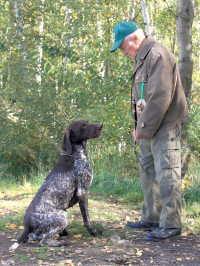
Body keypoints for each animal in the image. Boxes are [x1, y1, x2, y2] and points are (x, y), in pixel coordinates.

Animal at [9, 120, 102, 249]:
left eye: (87, 122)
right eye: (83, 125)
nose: (101, 125)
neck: (75, 155)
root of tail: (27, 226)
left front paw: (63, 233)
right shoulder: (83, 192)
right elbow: (87, 219)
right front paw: (93, 232)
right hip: (62, 216)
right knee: (42, 242)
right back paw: (62, 243)